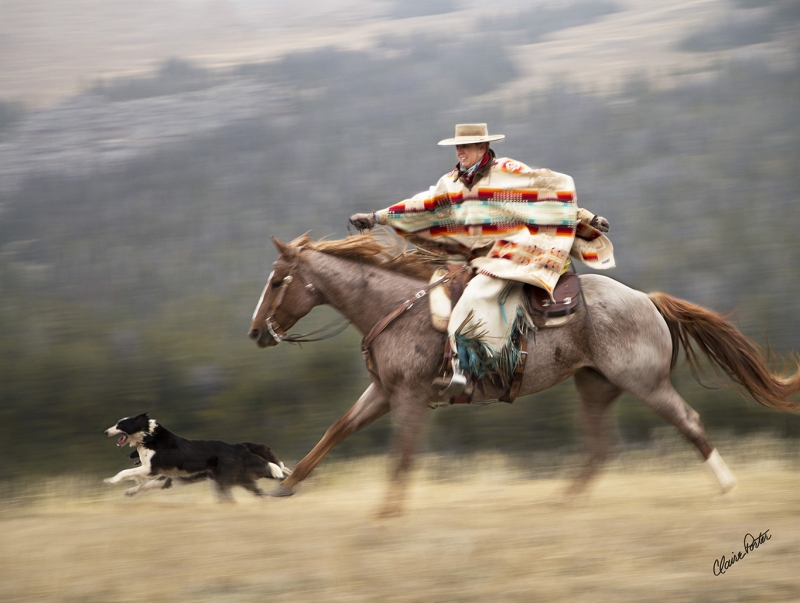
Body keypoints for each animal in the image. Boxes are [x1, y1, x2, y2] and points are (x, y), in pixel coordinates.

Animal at [103, 416, 290, 500]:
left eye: (120, 425)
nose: (105, 432)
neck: (149, 437)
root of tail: (240, 448)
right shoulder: (165, 475)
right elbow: (143, 483)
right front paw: (130, 491)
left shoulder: (151, 468)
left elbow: (125, 472)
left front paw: (111, 481)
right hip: (240, 479)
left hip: (228, 480)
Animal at [248, 234, 800, 516]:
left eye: (276, 281)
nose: (256, 332)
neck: (394, 306)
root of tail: (647, 299)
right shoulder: (382, 392)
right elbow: (338, 429)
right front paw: (286, 484)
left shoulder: (406, 397)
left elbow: (402, 455)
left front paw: (387, 513)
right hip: (595, 386)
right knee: (602, 447)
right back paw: (561, 502)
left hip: (646, 384)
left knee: (689, 421)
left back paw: (728, 487)